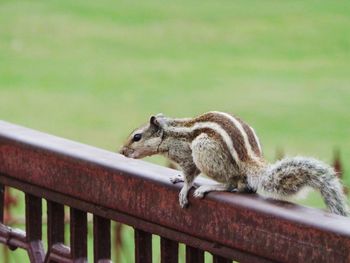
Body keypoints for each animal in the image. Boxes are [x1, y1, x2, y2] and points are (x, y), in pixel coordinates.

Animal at [119, 111, 348, 217]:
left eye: (137, 137)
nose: (122, 151)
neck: (170, 134)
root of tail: (250, 162)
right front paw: (178, 177)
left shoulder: (188, 157)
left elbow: (190, 175)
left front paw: (184, 189)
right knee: (244, 187)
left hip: (205, 152)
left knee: (230, 184)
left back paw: (209, 187)